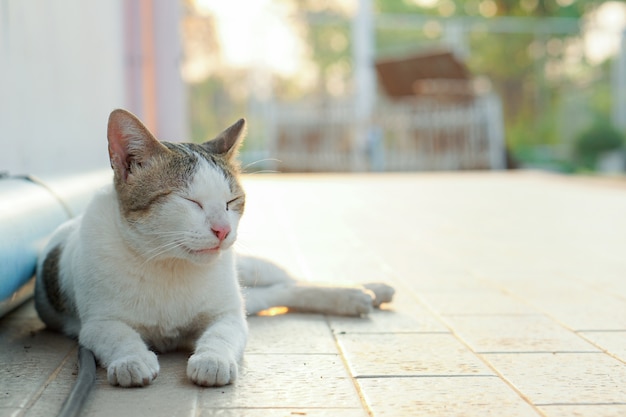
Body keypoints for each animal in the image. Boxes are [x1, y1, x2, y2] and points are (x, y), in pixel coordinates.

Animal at [34, 109, 392, 388]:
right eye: (190, 202)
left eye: (232, 201)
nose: (223, 230)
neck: (169, 263)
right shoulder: (97, 323)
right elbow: (118, 336)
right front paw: (131, 360)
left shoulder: (228, 314)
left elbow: (220, 335)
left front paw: (212, 360)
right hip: (251, 294)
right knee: (280, 292)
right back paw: (361, 295)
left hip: (248, 270)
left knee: (292, 280)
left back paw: (365, 290)